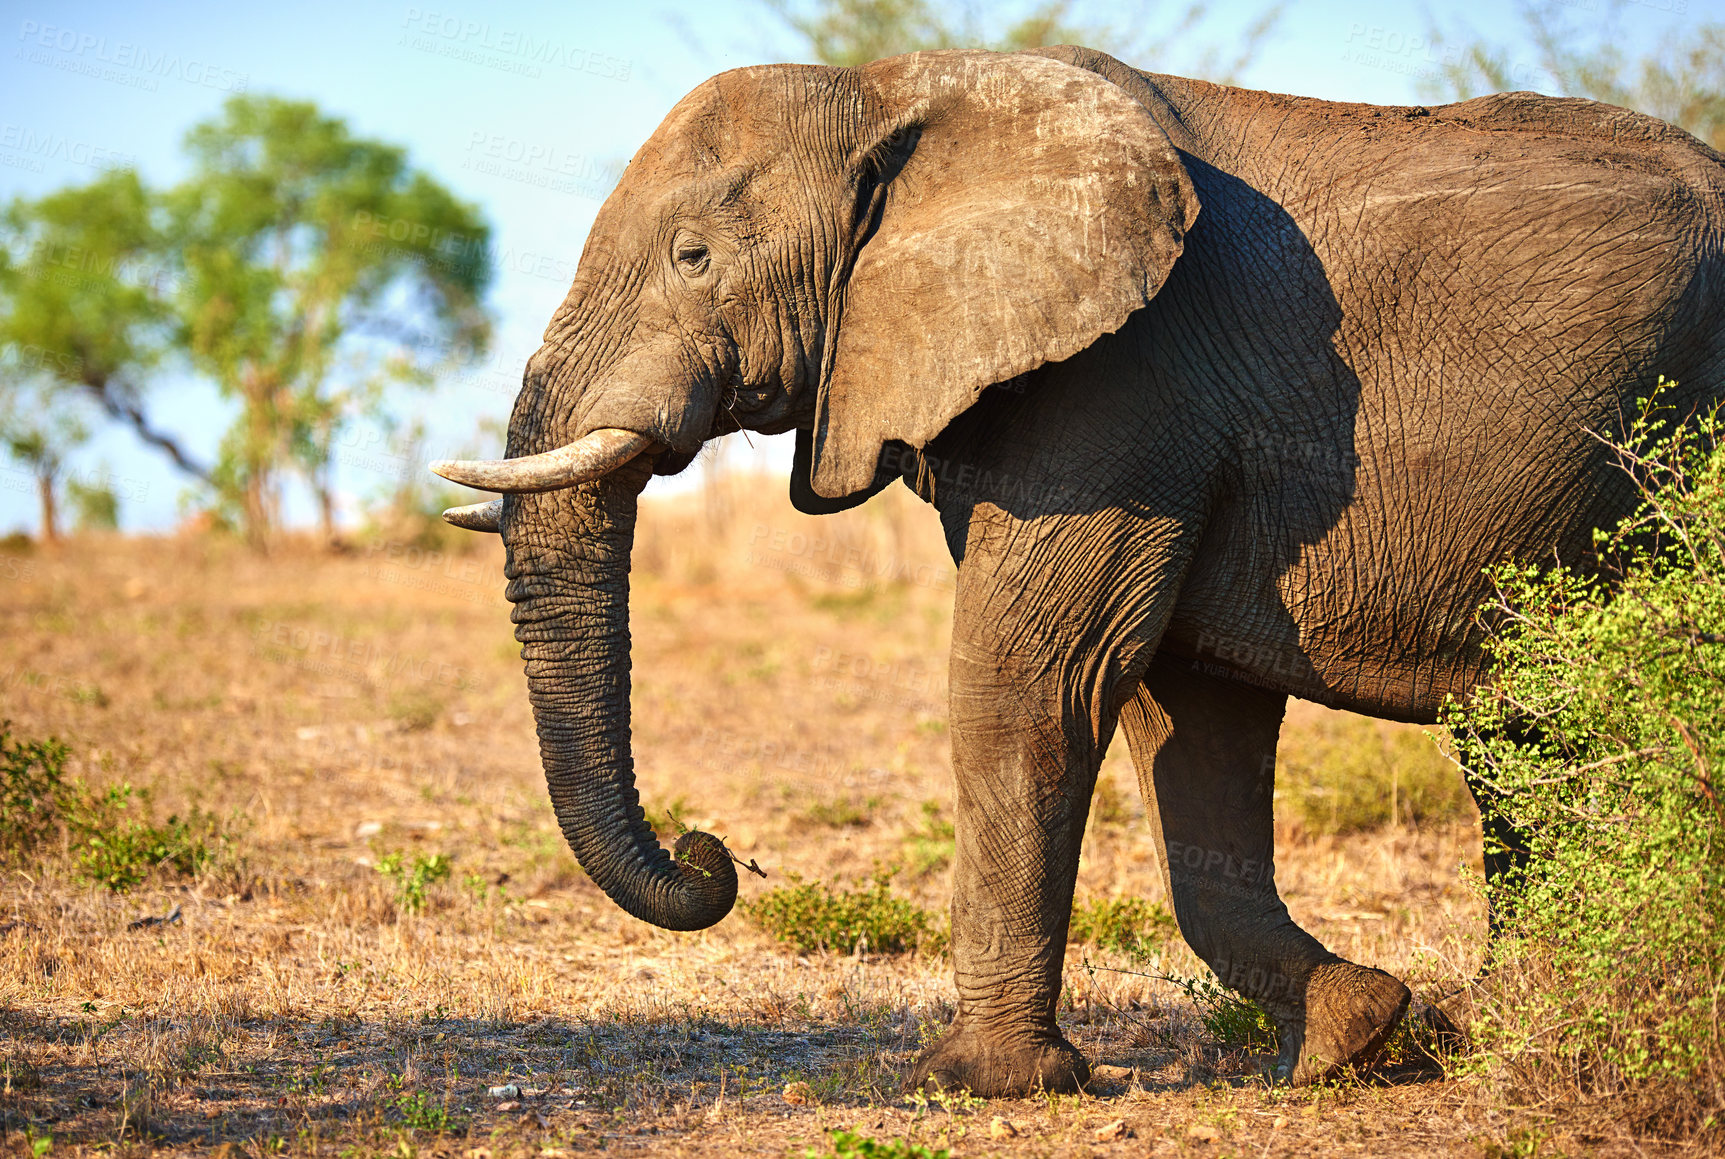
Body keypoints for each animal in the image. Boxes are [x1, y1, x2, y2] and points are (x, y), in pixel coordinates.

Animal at [431, 45, 1725, 1096]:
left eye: (695, 257)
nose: (711, 855)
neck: (893, 93)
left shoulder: (1125, 380)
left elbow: (1036, 676)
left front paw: (979, 1080)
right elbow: (1189, 720)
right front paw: (1362, 1033)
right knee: (1523, 736)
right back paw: (1509, 1021)